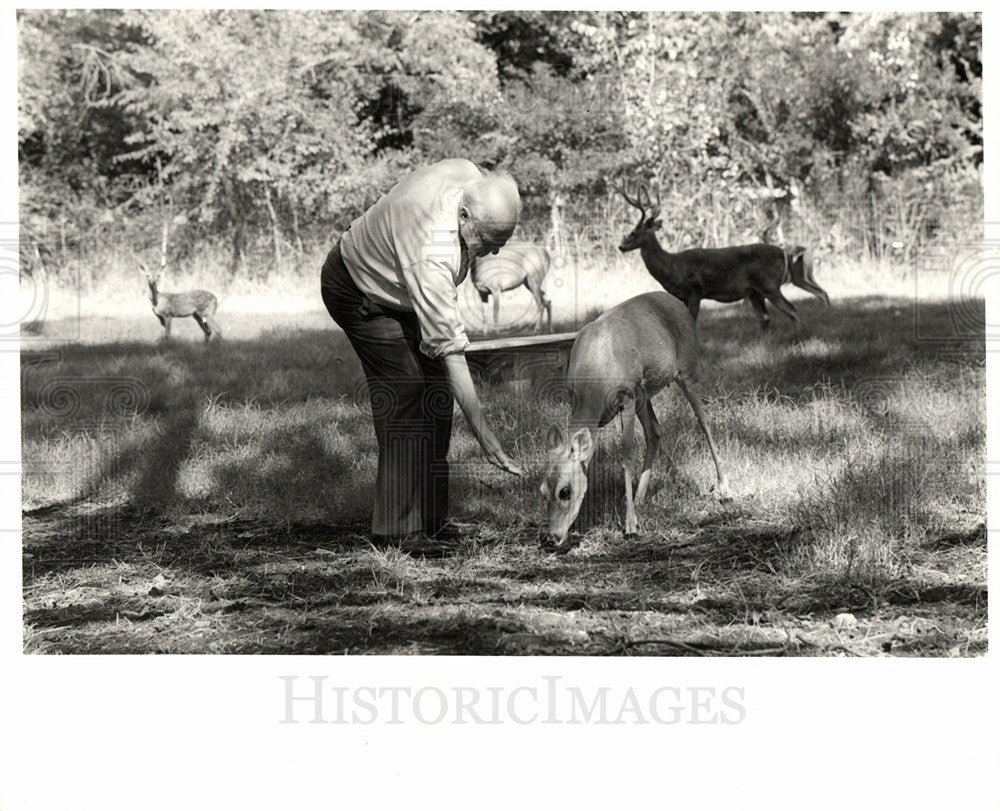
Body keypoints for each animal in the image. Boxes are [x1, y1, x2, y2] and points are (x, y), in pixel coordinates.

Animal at [544, 292, 732, 552]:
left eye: (565, 491)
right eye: (542, 490)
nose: (552, 537)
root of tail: (677, 301)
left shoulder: (627, 397)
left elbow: (626, 458)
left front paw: (630, 525)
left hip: (687, 369)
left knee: (704, 421)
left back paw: (724, 488)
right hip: (645, 393)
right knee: (655, 431)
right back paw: (640, 497)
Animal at [608, 182, 828, 328]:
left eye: (634, 232)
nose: (620, 246)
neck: (672, 267)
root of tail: (783, 252)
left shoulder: (695, 292)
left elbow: (692, 323)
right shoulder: (681, 296)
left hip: (769, 284)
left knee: (792, 310)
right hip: (755, 290)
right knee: (767, 318)